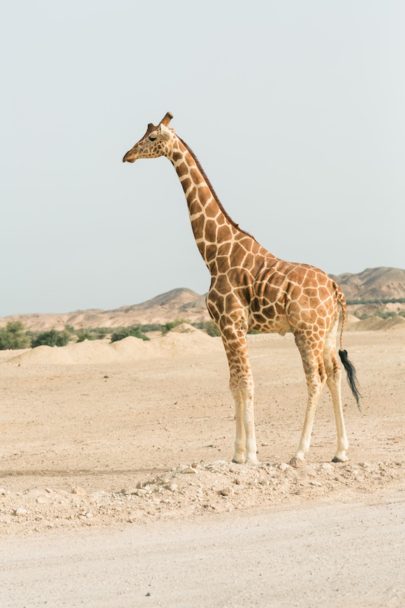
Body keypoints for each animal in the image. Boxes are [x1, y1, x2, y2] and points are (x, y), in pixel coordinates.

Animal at [121, 113, 358, 466]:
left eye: (151, 138)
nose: (127, 155)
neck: (214, 253)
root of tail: (334, 287)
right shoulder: (224, 328)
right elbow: (233, 383)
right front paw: (237, 453)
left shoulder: (233, 325)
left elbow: (246, 382)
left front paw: (252, 454)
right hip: (327, 334)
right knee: (334, 374)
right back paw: (340, 451)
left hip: (307, 332)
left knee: (314, 378)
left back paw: (299, 452)